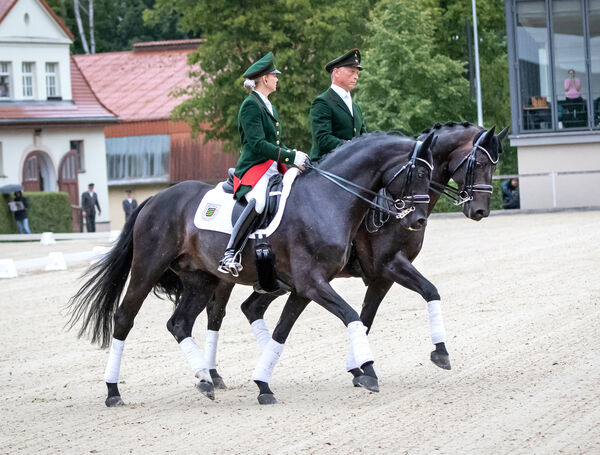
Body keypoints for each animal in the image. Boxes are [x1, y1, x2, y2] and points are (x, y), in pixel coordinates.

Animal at [68, 131, 436, 406]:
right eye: (418, 173)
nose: (417, 219)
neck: (328, 198)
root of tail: (155, 199)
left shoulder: (305, 287)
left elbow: (282, 332)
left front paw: (263, 385)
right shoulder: (314, 282)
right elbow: (353, 316)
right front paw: (368, 371)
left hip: (201, 279)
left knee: (180, 323)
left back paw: (205, 379)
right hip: (148, 267)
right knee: (124, 318)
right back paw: (114, 391)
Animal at [202, 123, 506, 390]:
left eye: (494, 165)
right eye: (480, 163)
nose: (480, 211)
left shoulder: (381, 276)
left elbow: (370, 315)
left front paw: (359, 369)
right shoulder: (389, 265)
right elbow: (425, 292)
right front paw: (435, 352)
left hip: (276, 281)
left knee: (251, 308)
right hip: (226, 279)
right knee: (215, 315)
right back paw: (212, 375)